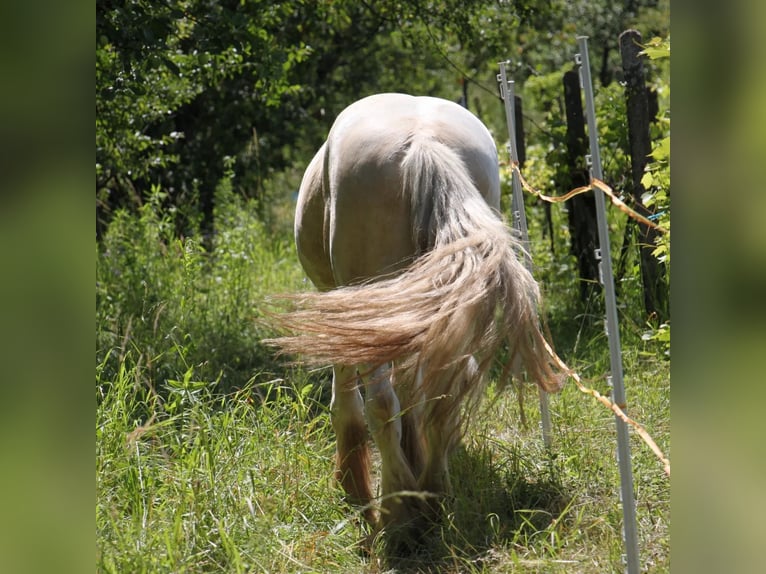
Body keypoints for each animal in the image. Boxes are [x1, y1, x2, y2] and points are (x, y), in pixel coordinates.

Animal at [270, 93, 564, 548]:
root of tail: (424, 141)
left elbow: (347, 403)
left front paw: (353, 484)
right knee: (443, 389)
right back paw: (433, 496)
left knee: (380, 404)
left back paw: (398, 516)